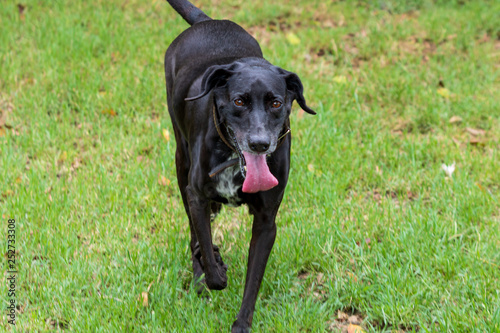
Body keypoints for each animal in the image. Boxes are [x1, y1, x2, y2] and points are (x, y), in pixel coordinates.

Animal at [163, 0, 312, 330]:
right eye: (239, 102)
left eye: (276, 103)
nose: (259, 144)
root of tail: (206, 21)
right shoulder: (196, 195)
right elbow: (208, 255)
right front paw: (212, 267)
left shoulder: (267, 221)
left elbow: (253, 279)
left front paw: (242, 323)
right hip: (181, 161)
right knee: (193, 227)